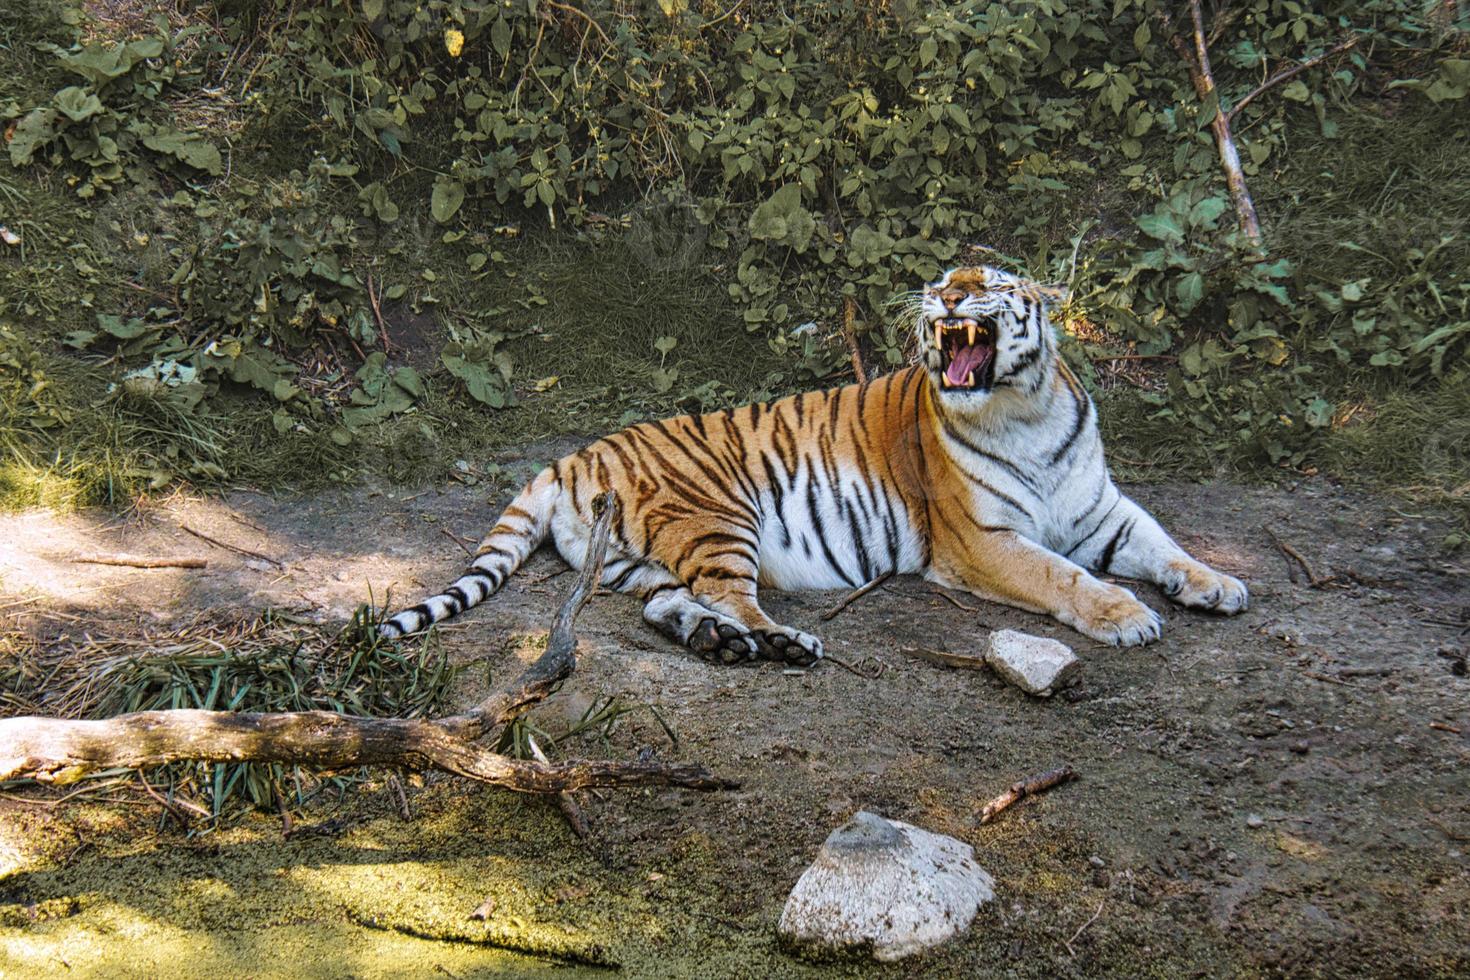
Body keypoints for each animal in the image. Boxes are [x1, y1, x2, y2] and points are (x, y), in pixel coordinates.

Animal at [379, 264, 1240, 664]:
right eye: (943, 282)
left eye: (989, 283)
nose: (946, 300)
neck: (1023, 409)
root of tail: (572, 454)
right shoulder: (982, 541)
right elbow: (1064, 577)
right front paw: (1128, 617)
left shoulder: (1102, 509)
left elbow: (1165, 545)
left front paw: (1218, 584)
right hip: (717, 516)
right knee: (733, 597)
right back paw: (783, 642)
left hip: (633, 561)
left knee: (673, 606)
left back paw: (718, 642)